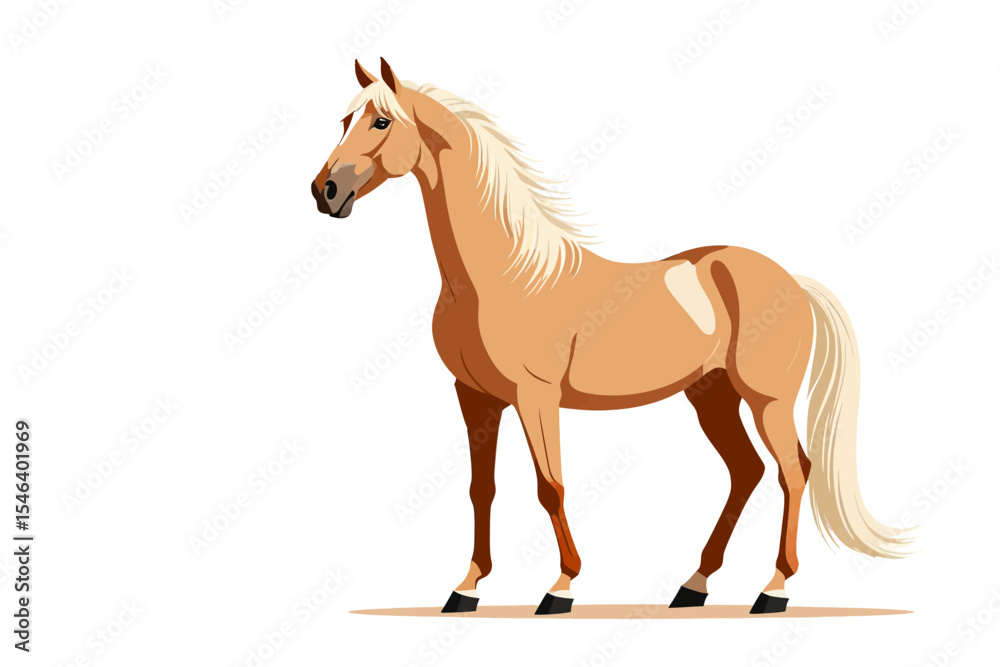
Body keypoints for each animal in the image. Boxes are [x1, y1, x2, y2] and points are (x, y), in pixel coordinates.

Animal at [311, 59, 911, 615]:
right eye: (344, 120)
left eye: (382, 121)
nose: (325, 191)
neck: (502, 275)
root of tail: (792, 281)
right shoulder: (475, 397)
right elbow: (482, 489)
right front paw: (466, 588)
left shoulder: (535, 398)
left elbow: (549, 486)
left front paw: (561, 587)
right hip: (711, 396)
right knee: (747, 471)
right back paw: (694, 586)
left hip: (767, 400)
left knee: (792, 472)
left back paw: (774, 589)